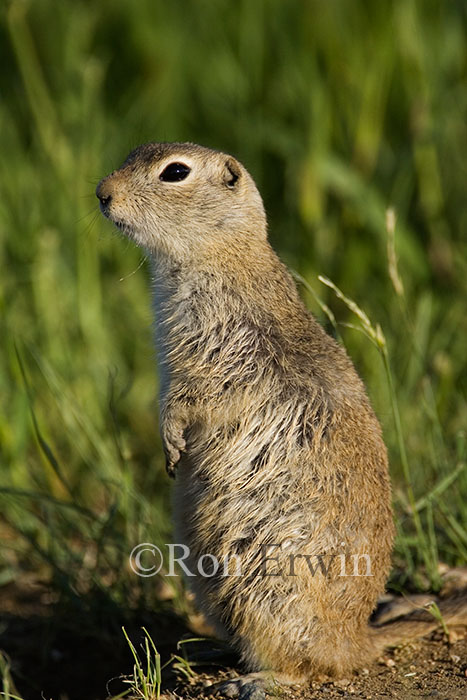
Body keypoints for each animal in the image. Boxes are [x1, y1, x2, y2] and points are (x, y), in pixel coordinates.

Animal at [96, 145, 467, 696]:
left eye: (175, 172)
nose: (102, 193)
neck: (222, 253)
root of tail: (354, 641)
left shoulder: (219, 348)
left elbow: (192, 398)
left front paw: (171, 442)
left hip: (269, 592)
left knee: (309, 667)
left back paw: (257, 680)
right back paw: (209, 649)